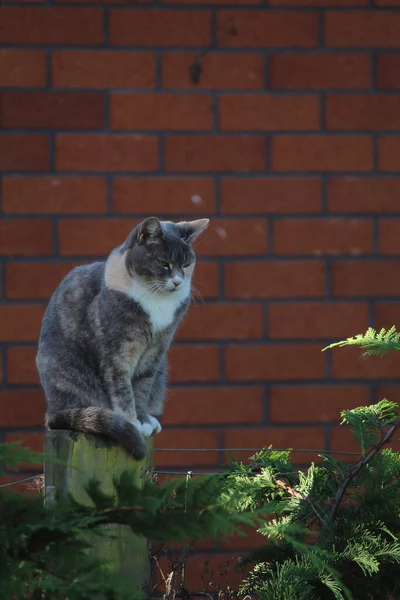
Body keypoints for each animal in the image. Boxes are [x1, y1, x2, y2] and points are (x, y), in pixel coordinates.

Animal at [35, 217, 209, 460]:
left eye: (186, 265)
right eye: (163, 263)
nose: (177, 282)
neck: (155, 299)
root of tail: (52, 411)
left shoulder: (156, 350)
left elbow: (143, 386)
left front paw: (143, 419)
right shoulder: (117, 350)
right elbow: (122, 388)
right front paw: (132, 422)